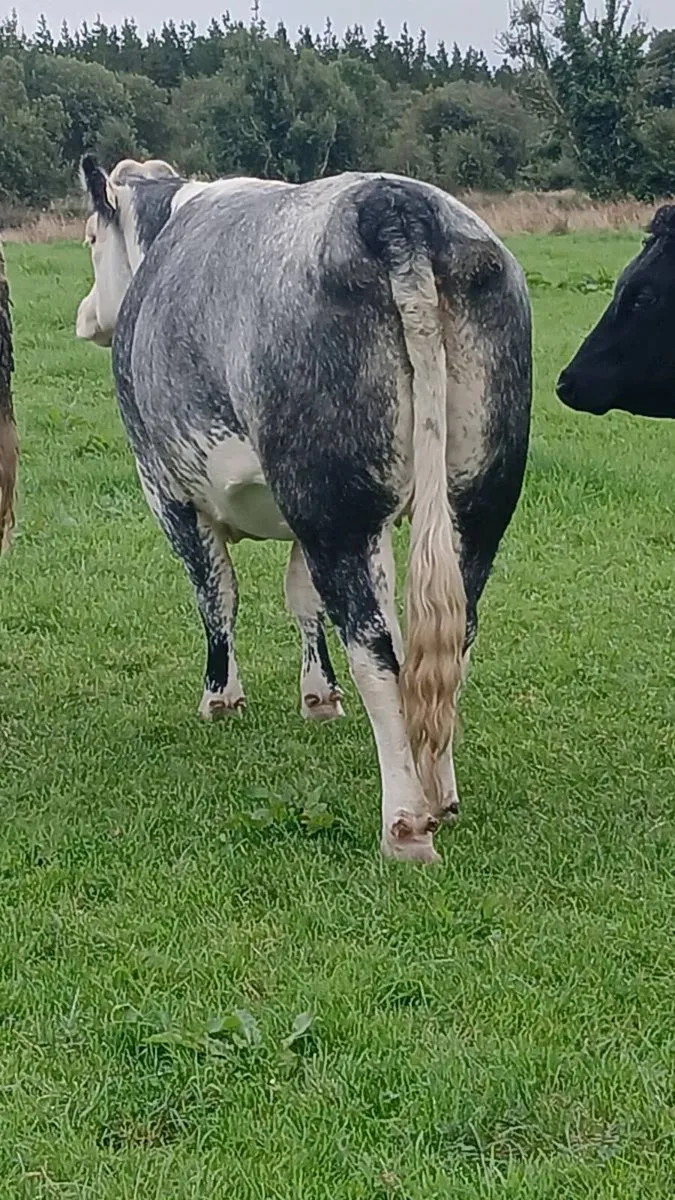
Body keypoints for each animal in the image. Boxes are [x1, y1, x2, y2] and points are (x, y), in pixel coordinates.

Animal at [76, 155, 532, 863]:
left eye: (90, 238)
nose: (84, 316)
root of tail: (392, 205)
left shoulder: (168, 489)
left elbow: (217, 596)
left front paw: (222, 699)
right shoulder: (322, 519)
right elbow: (304, 598)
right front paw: (319, 696)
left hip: (334, 509)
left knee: (375, 648)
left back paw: (405, 824)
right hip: (474, 500)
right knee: (445, 638)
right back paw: (440, 796)